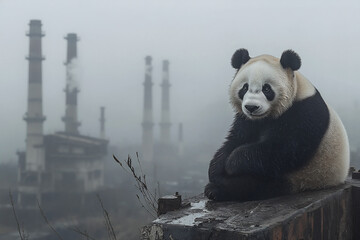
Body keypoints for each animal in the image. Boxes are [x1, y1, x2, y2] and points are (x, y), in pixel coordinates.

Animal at [205, 48, 348, 201]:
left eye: (266, 89)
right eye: (245, 87)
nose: (251, 107)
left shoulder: (305, 113)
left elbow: (283, 150)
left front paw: (232, 163)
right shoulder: (247, 120)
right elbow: (236, 138)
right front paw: (216, 167)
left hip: (305, 175)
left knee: (254, 186)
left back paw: (217, 189)